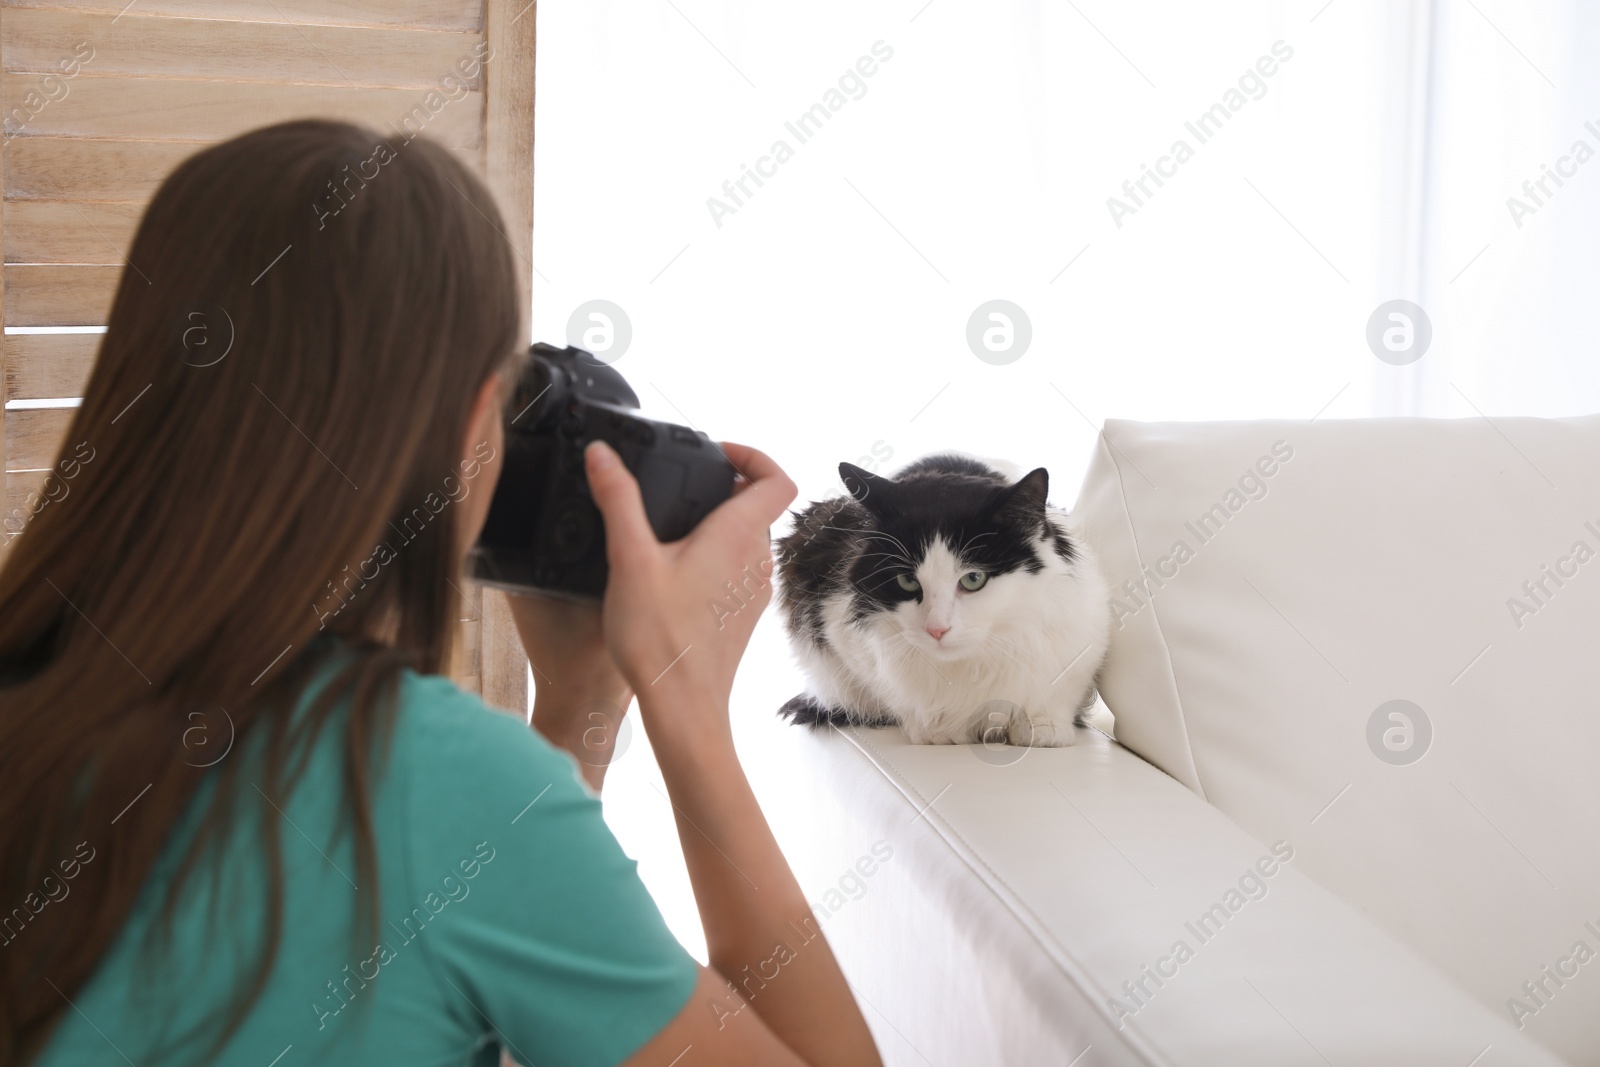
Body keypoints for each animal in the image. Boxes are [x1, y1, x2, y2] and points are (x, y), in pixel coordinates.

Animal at [774, 454, 1113, 748]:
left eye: (973, 579)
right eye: (908, 581)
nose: (936, 629)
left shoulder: (1083, 643)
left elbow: (1055, 696)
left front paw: (1043, 728)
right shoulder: (835, 629)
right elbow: (896, 695)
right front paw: (938, 729)